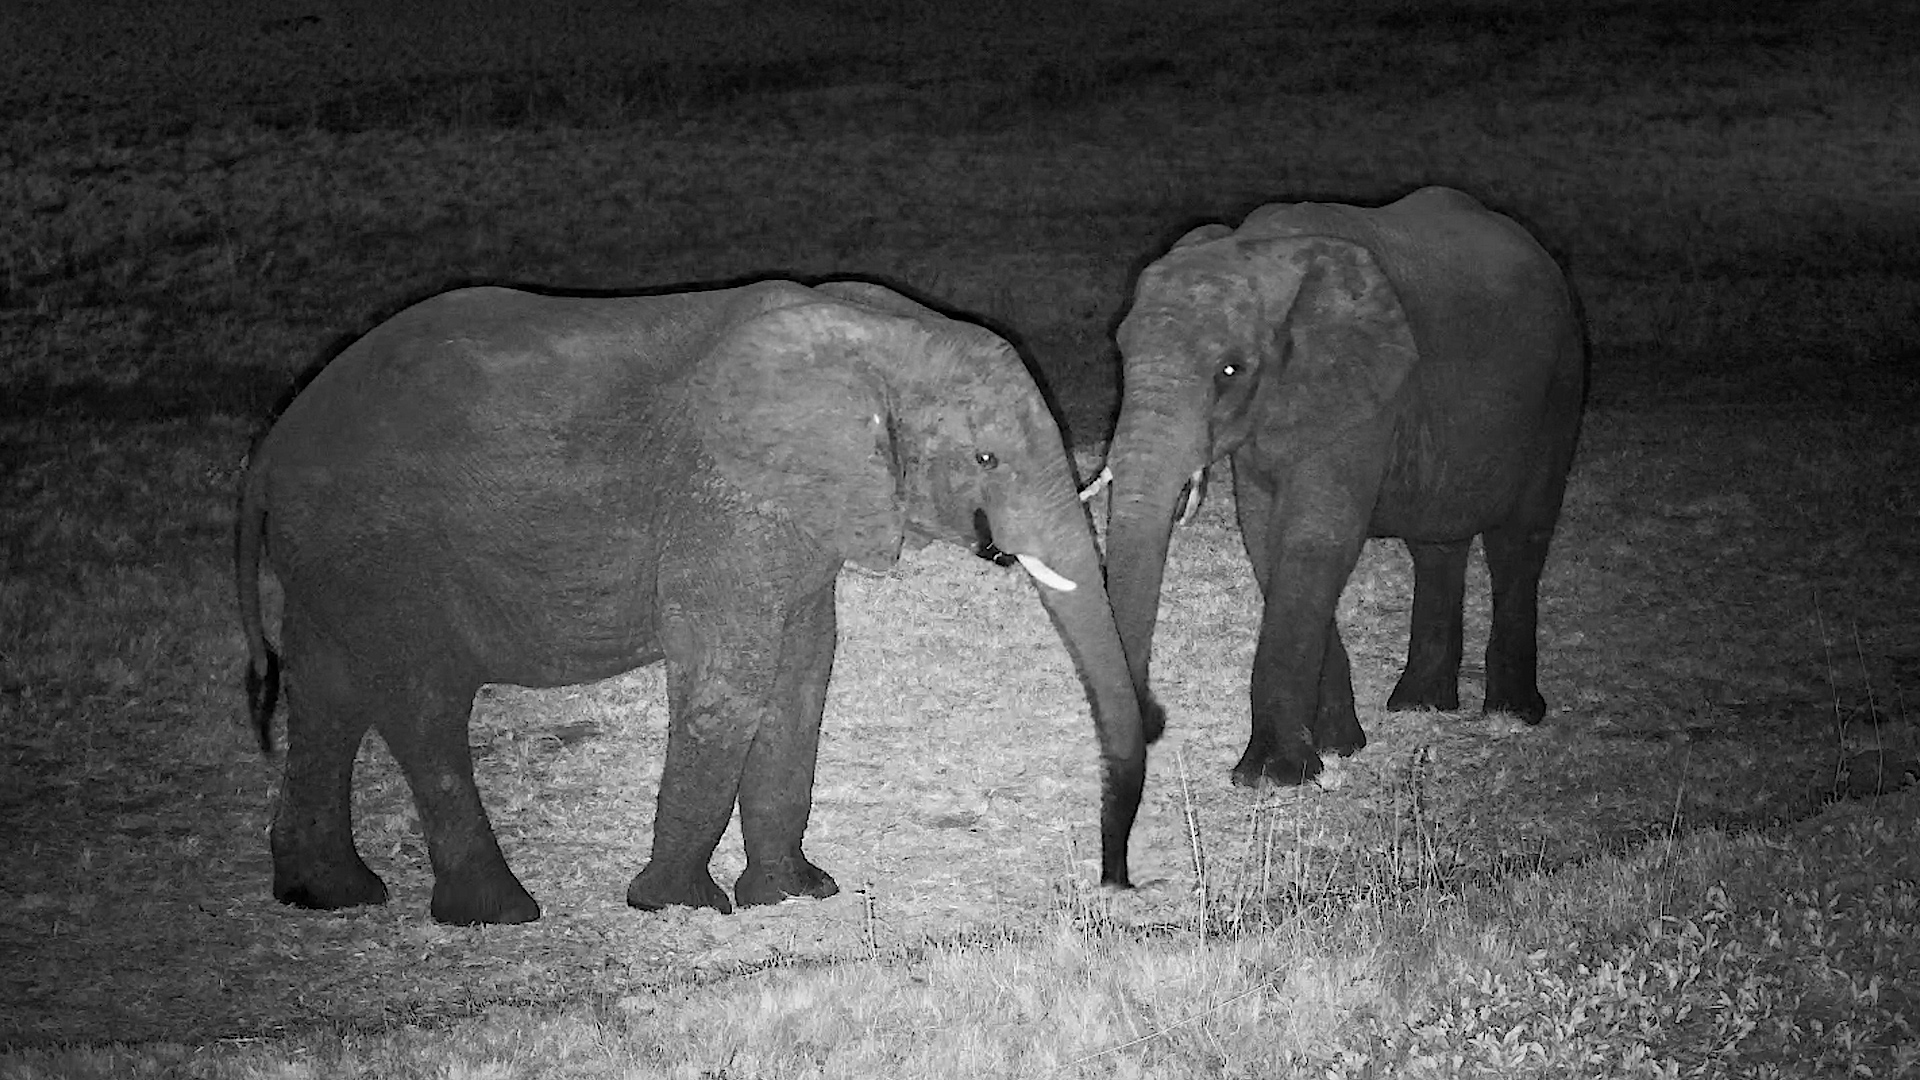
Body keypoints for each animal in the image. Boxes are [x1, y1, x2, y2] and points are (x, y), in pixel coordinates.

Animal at [234, 278, 1151, 925]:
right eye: (987, 458)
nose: (1119, 885)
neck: (879, 335)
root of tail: (271, 446)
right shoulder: (726, 501)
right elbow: (731, 677)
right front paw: (678, 907)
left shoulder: (793, 520)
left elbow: (803, 671)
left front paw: (796, 896)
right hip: (385, 548)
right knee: (421, 701)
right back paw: (498, 915)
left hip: (333, 557)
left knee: (327, 693)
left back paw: (326, 896)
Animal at [1102, 186, 1585, 788]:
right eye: (1121, 354)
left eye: (1230, 371)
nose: (1154, 721)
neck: (1259, 250)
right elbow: (1266, 542)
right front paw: (1338, 749)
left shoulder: (1366, 392)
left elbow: (1316, 538)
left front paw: (1273, 777)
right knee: (1438, 546)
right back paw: (1421, 705)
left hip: (1559, 387)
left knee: (1518, 542)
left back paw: (1511, 714)